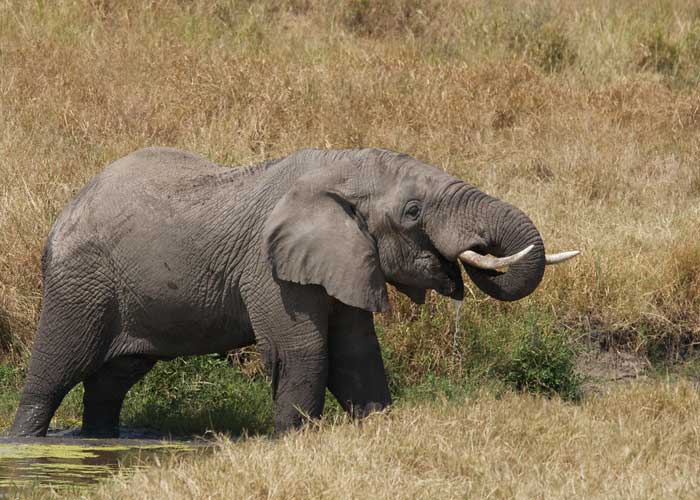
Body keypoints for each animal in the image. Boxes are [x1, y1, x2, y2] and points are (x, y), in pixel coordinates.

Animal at [10, 146, 576, 436]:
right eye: (413, 212)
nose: (472, 254)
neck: (340, 168)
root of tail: (65, 211)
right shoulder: (270, 270)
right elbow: (303, 353)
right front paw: (291, 441)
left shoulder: (345, 260)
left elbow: (356, 354)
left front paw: (377, 429)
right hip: (79, 284)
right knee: (56, 372)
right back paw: (25, 444)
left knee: (112, 381)